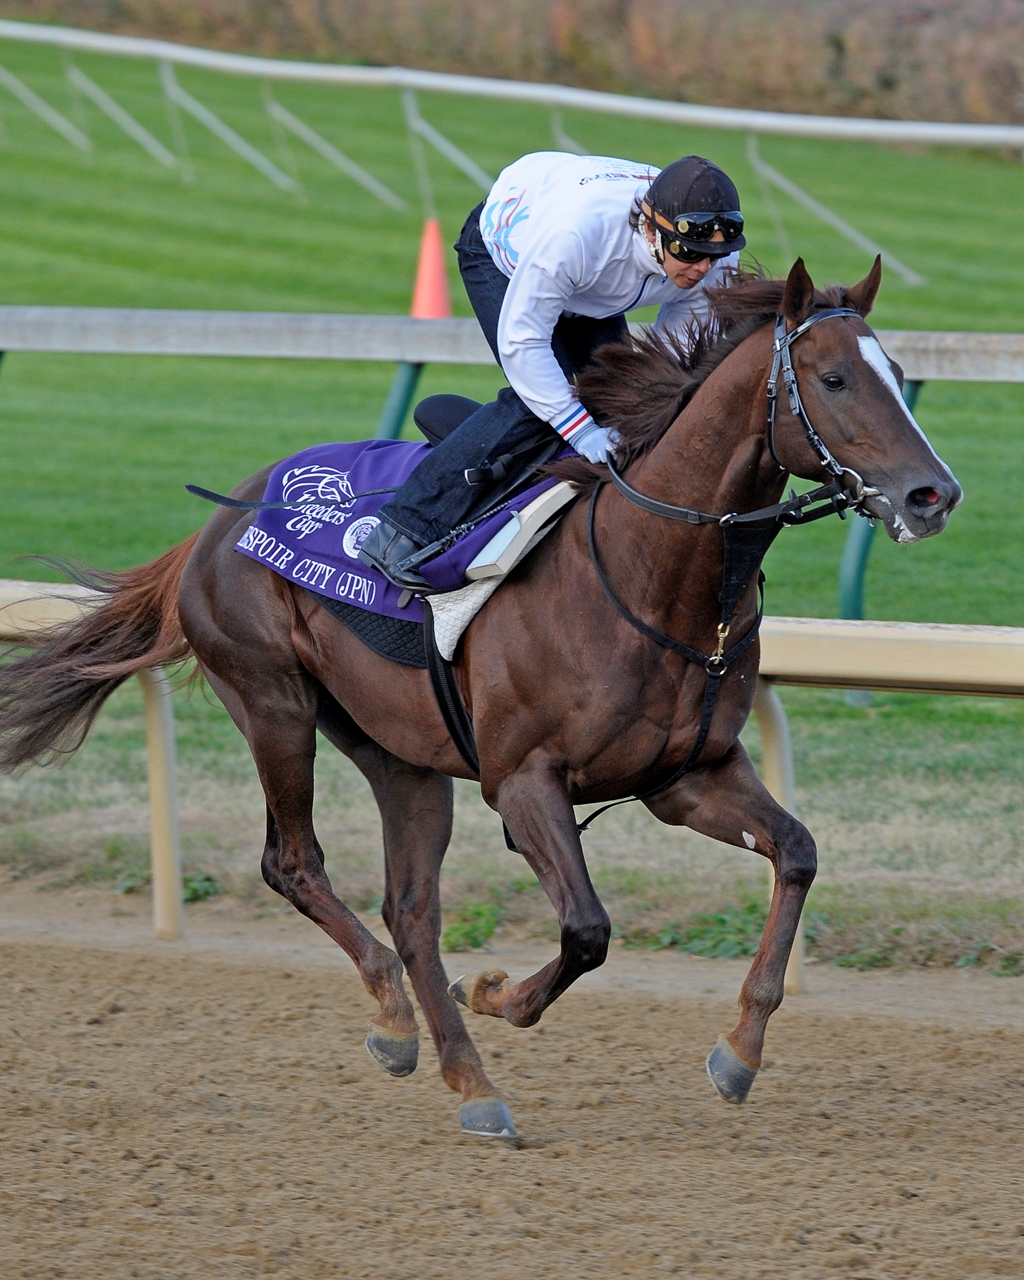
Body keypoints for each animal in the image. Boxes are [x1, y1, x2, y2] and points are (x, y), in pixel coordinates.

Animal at [0, 259, 962, 1141]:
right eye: (834, 379)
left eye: (895, 369)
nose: (934, 494)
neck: (649, 573)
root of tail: (220, 519)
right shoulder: (524, 780)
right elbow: (587, 929)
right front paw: (501, 992)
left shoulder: (687, 776)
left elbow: (796, 854)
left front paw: (739, 1051)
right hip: (272, 701)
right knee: (294, 864)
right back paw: (402, 1023)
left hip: (400, 756)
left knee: (410, 910)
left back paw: (465, 1077)